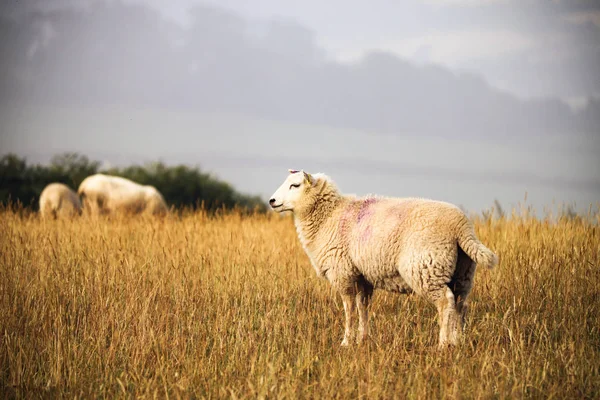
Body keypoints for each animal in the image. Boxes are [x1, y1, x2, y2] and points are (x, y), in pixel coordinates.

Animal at [270, 169, 500, 346]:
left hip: (426, 267)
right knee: (460, 304)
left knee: (445, 302)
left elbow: (349, 310)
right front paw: (363, 339)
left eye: (295, 185)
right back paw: (457, 341)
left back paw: (443, 344)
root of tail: (460, 226)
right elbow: (363, 307)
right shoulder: (361, 276)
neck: (329, 216)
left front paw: (346, 342)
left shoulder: (343, 273)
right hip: (463, 271)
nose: (272, 201)